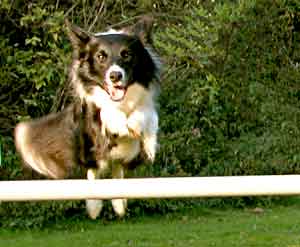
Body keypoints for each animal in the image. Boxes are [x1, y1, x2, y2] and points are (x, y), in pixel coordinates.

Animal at [14, 16, 162, 219]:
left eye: (126, 55)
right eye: (100, 57)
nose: (115, 76)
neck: (121, 101)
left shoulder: (148, 106)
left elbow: (146, 116)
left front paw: (135, 125)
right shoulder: (93, 114)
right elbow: (107, 114)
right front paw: (121, 123)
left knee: (117, 168)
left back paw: (119, 203)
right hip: (87, 147)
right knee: (94, 169)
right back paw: (94, 206)